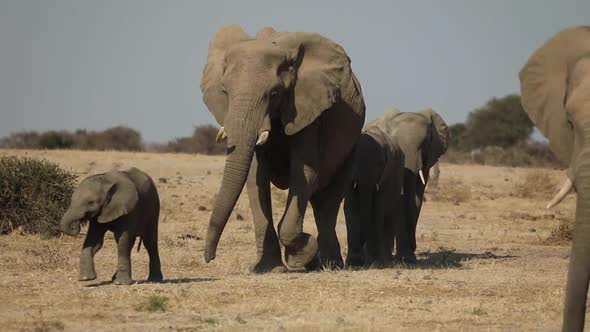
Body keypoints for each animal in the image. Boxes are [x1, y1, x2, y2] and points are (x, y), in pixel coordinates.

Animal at [201, 24, 366, 272]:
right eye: (225, 92)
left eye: (274, 94)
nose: (209, 258)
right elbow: (255, 177)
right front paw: (267, 268)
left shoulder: (308, 108)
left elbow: (305, 173)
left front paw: (302, 256)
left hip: (352, 143)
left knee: (330, 199)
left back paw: (329, 264)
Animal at [342, 126, 408, 268]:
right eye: (354, 164)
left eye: (380, 164)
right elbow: (350, 208)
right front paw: (353, 263)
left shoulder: (385, 175)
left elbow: (377, 209)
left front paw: (376, 263)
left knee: (388, 215)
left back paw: (386, 260)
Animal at [372, 107, 450, 260]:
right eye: (394, 143)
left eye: (425, 142)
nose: (414, 245)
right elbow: (400, 199)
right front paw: (405, 257)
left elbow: (417, 197)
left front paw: (408, 256)